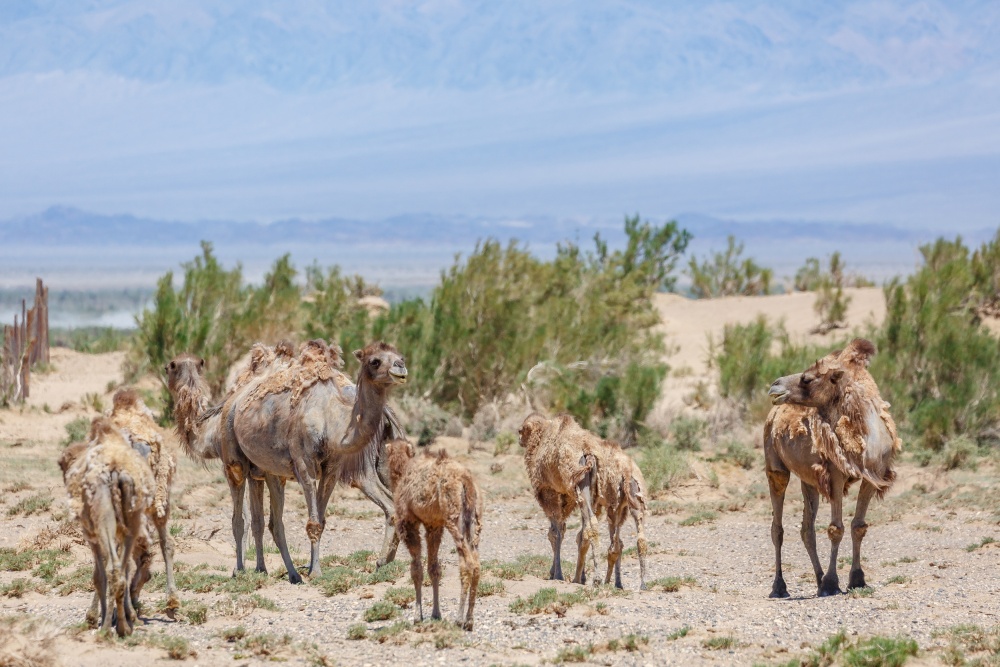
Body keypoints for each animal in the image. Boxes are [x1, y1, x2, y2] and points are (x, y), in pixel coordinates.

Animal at [57, 418, 152, 636]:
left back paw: (107, 628)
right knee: (122, 569)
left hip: (103, 518)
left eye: (61, 464)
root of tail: (116, 471)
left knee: (112, 569)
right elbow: (125, 567)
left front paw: (94, 618)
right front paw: (129, 616)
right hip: (132, 518)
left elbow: (98, 576)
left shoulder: (89, 533)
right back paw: (124, 627)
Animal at [384, 438, 482, 632]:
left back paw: (459, 619)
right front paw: (436, 614)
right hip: (474, 518)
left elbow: (416, 569)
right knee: (476, 562)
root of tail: (465, 481)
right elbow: (434, 568)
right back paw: (469, 620)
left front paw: (417, 616)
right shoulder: (434, 525)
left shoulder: (408, 522)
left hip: (453, 516)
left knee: (467, 563)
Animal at [520, 414, 652, 592]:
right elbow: (578, 535)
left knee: (593, 527)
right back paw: (634, 584)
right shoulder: (577, 498)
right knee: (631, 539)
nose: (520, 439)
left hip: (583, 488)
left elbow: (556, 533)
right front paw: (580, 578)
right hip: (626, 498)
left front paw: (557, 574)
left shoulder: (549, 492)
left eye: (521, 431)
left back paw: (597, 579)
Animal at [760, 340, 904, 600]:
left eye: (807, 378)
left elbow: (858, 526)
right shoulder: (836, 475)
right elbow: (836, 528)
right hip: (775, 466)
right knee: (778, 528)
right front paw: (831, 583)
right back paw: (780, 587)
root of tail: (772, 415)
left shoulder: (873, 476)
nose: (775, 386)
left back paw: (817, 580)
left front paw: (857, 579)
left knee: (807, 529)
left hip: (809, 479)